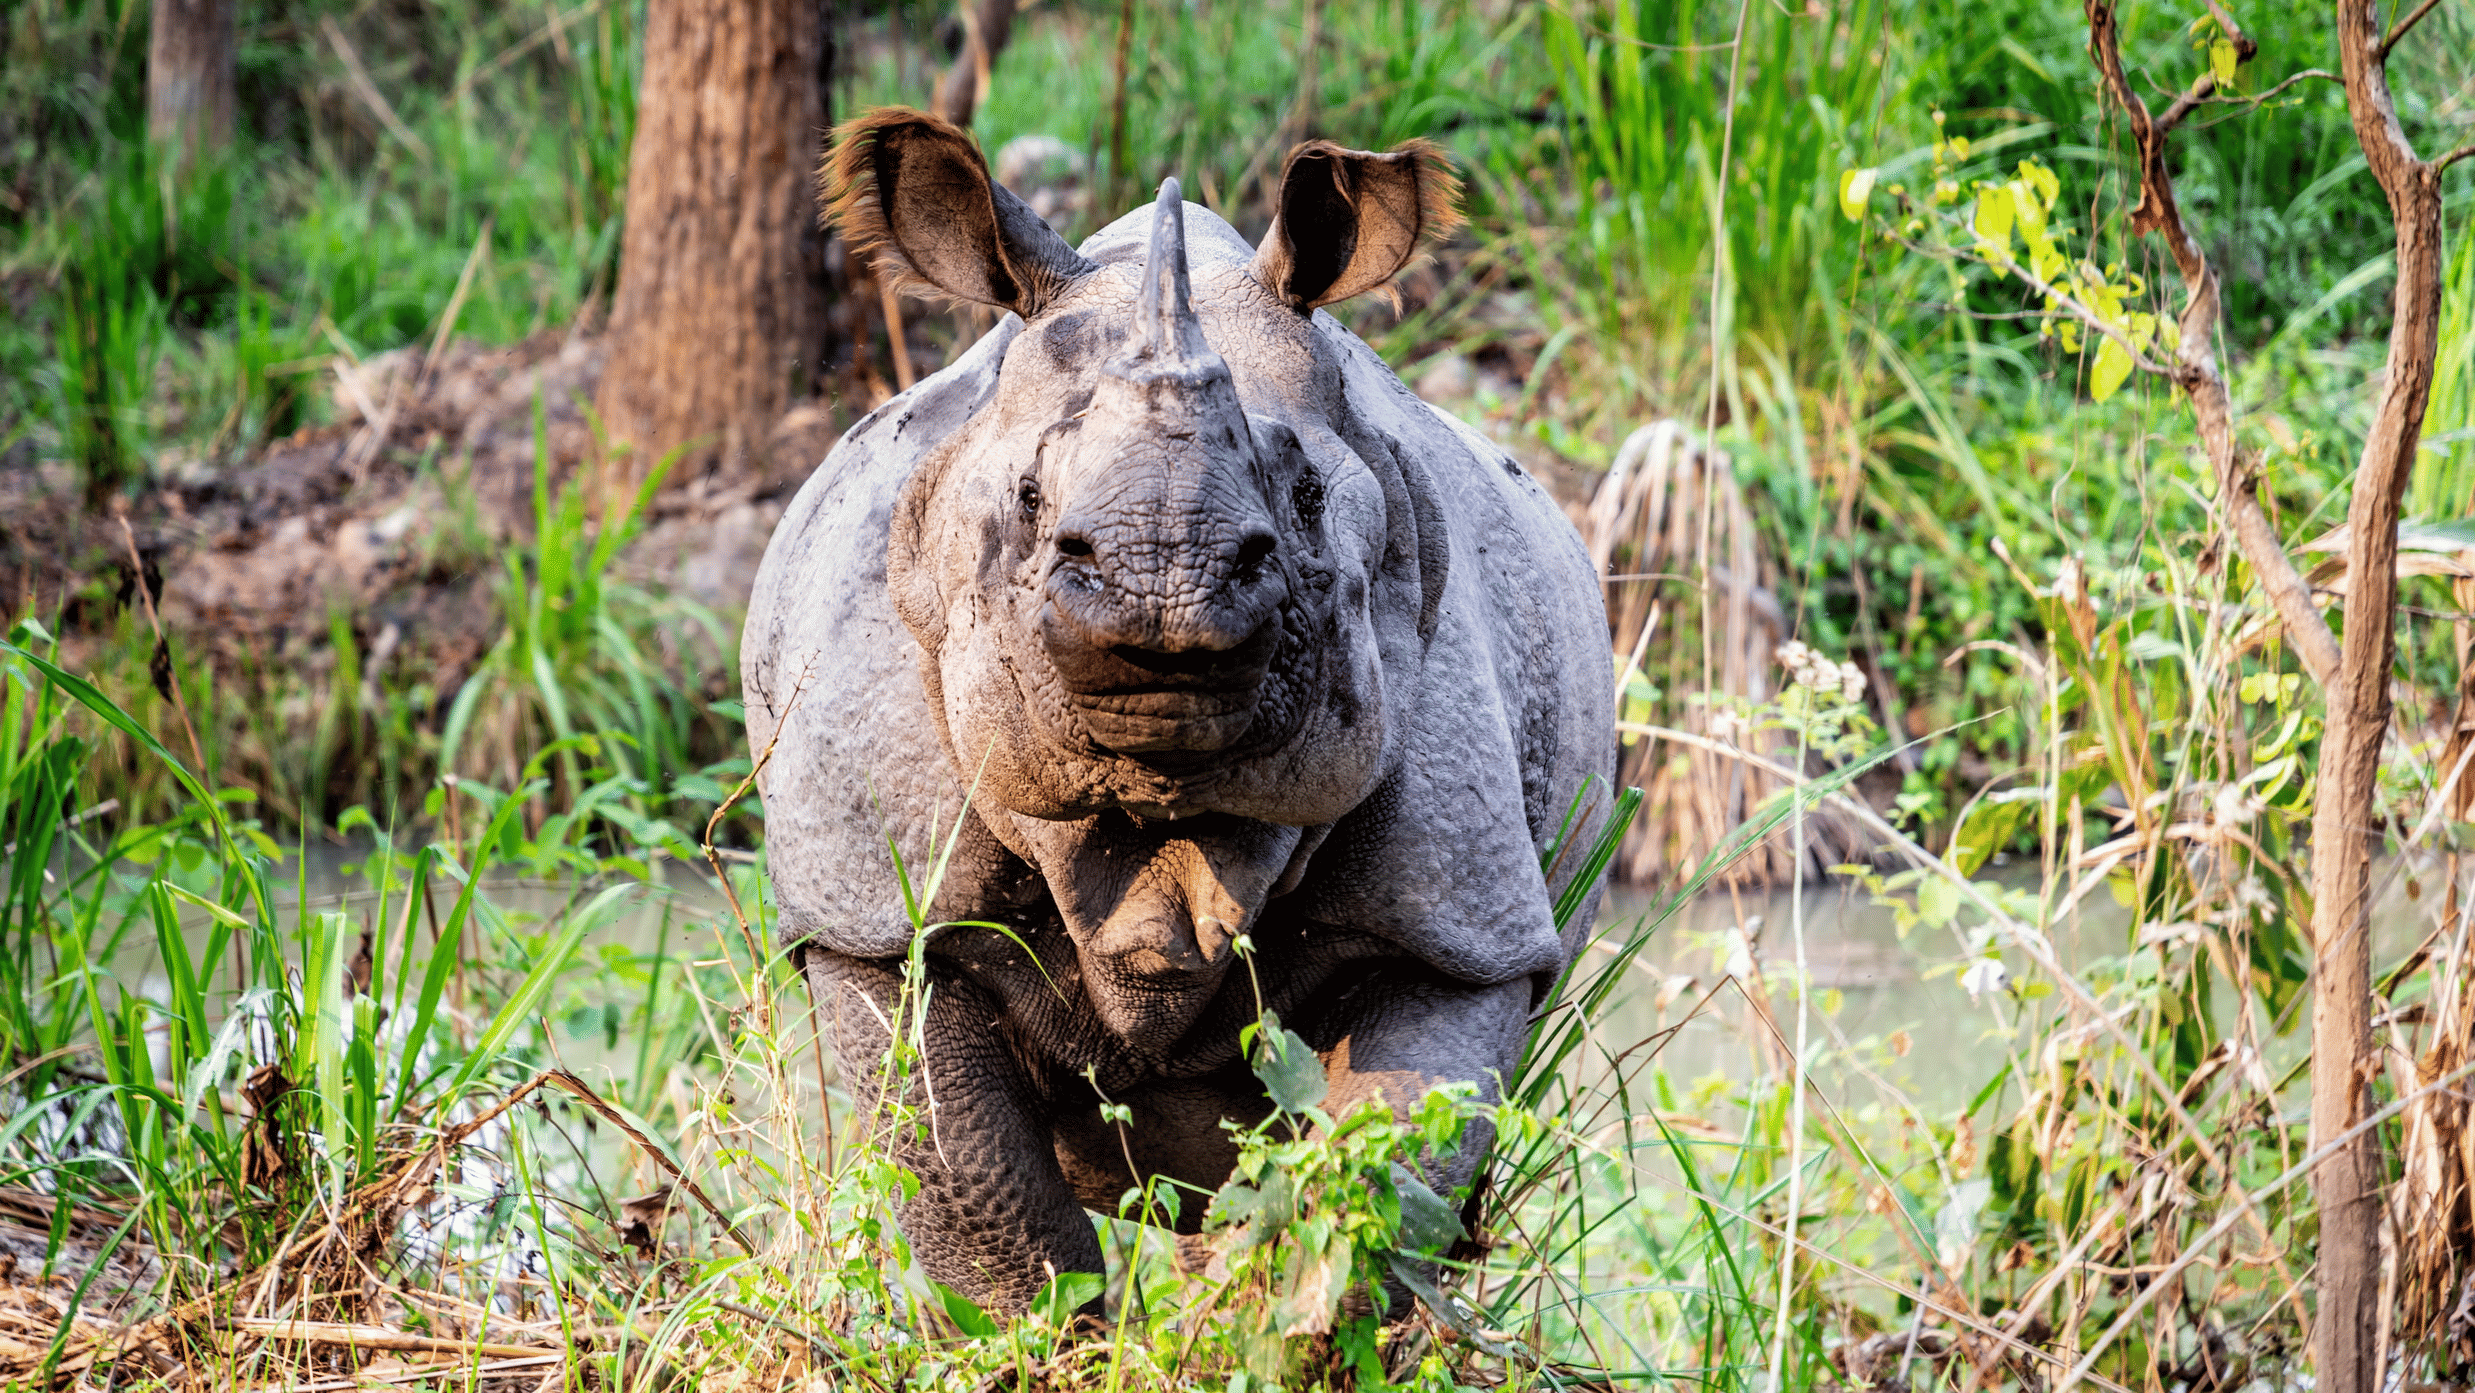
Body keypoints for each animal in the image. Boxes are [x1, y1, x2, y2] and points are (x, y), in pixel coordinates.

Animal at [741, 107, 1616, 1314]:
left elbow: (1375, 1178)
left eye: (1305, 498)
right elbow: (981, 1201)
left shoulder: (1459, 922)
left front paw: (1250, 1322)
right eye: (1028, 499)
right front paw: (1066, 1337)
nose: (1166, 584)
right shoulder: (877, 907)